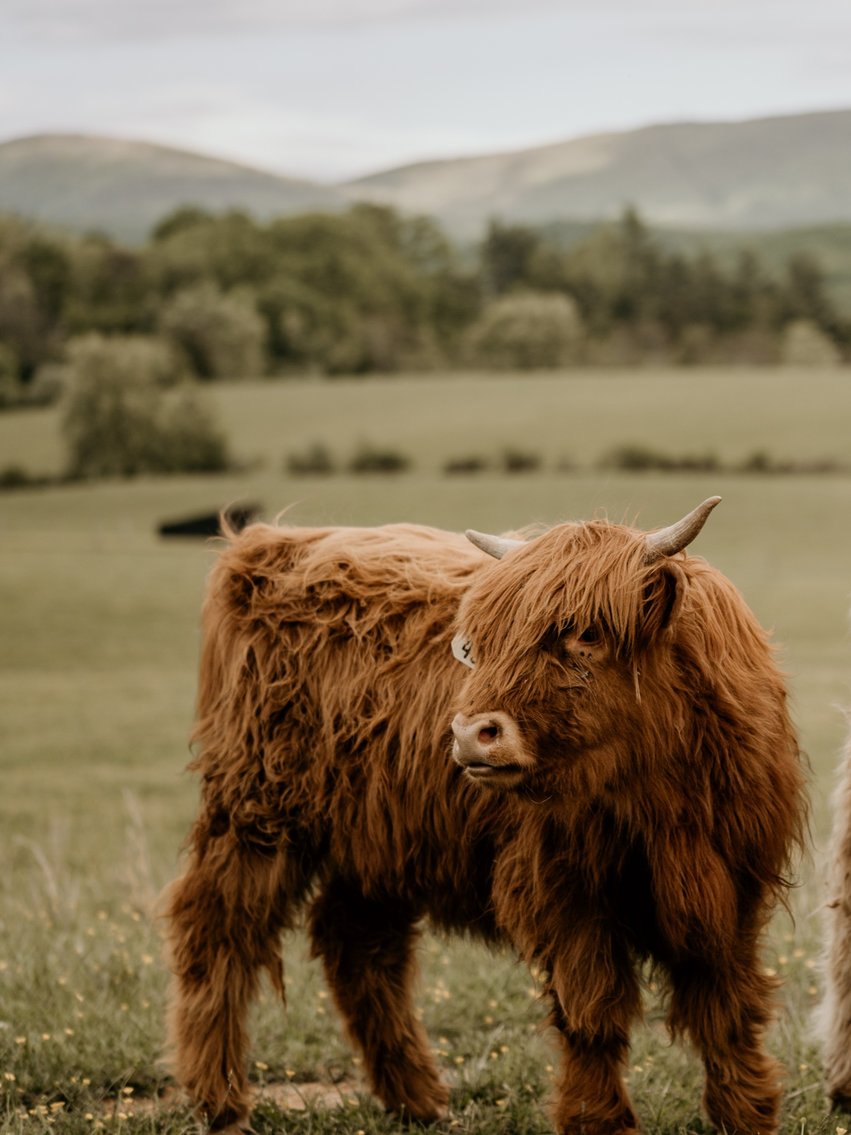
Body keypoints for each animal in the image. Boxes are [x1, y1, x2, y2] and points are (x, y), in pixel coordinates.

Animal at [164, 497, 806, 1135]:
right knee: (218, 930)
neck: (661, 805)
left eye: (586, 633)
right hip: (256, 814)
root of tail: (269, 544)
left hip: (378, 840)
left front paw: (747, 1112)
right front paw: (598, 1121)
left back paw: (417, 1098)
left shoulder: (731, 895)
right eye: (480, 646)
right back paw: (221, 1101)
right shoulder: (564, 892)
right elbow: (591, 1014)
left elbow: (727, 1010)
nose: (471, 733)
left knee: (359, 946)